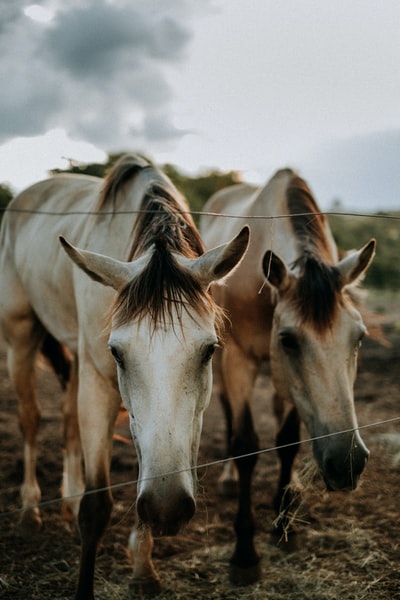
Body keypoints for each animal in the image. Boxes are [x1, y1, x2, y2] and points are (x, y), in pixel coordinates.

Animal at [202, 166, 376, 584]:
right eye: (288, 340)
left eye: (359, 337)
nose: (347, 462)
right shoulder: (240, 360)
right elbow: (245, 444)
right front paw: (245, 553)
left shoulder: (294, 387)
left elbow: (288, 441)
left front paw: (284, 523)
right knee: (228, 411)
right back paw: (229, 479)